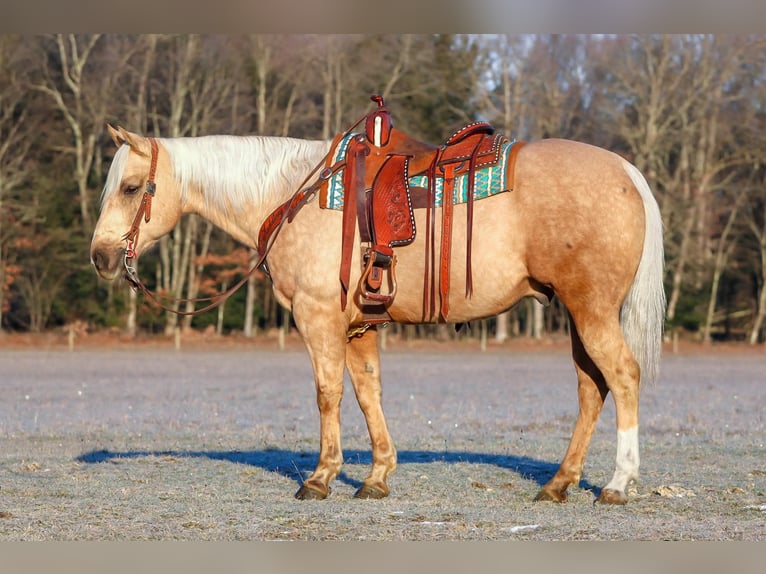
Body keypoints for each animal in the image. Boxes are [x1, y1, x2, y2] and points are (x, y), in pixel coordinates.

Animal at [90, 120, 665, 505]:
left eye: (131, 187)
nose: (100, 257)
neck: (292, 194)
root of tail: (626, 171)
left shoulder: (318, 318)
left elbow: (328, 394)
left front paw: (321, 477)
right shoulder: (358, 326)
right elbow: (369, 391)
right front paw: (377, 476)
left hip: (592, 311)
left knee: (622, 376)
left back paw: (618, 483)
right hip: (577, 314)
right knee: (591, 388)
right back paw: (559, 483)